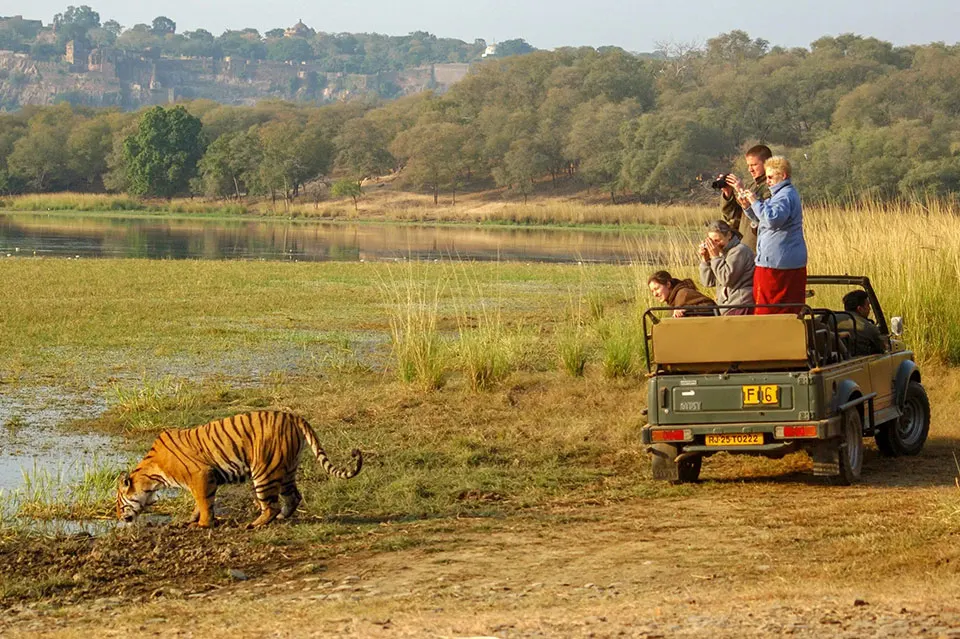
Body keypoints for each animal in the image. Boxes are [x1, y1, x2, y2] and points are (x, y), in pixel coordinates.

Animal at [116, 410, 362, 529]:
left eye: (118, 503)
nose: (119, 517)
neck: (151, 475)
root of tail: (294, 416)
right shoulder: (205, 479)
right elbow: (200, 503)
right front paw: (192, 520)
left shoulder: (201, 475)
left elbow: (204, 503)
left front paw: (203, 525)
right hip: (287, 470)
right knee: (293, 497)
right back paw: (282, 518)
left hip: (264, 471)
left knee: (271, 505)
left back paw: (253, 524)